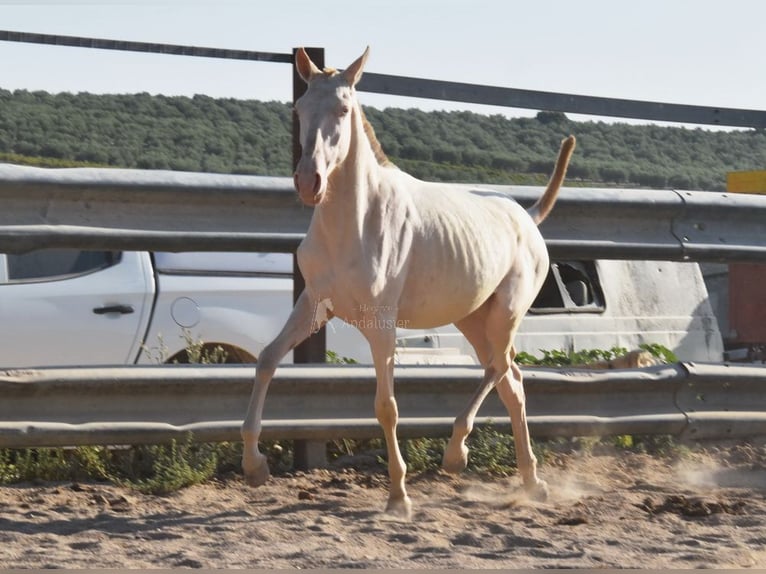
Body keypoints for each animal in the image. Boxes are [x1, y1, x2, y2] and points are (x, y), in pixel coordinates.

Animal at [244, 47, 576, 520]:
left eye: (343, 109)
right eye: (299, 108)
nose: (309, 182)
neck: (354, 223)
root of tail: (528, 218)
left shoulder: (381, 323)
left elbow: (386, 406)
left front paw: (399, 496)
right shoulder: (314, 304)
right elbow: (267, 360)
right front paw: (254, 465)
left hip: (505, 314)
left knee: (502, 371)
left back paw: (469, 458)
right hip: (472, 319)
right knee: (510, 380)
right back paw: (520, 478)